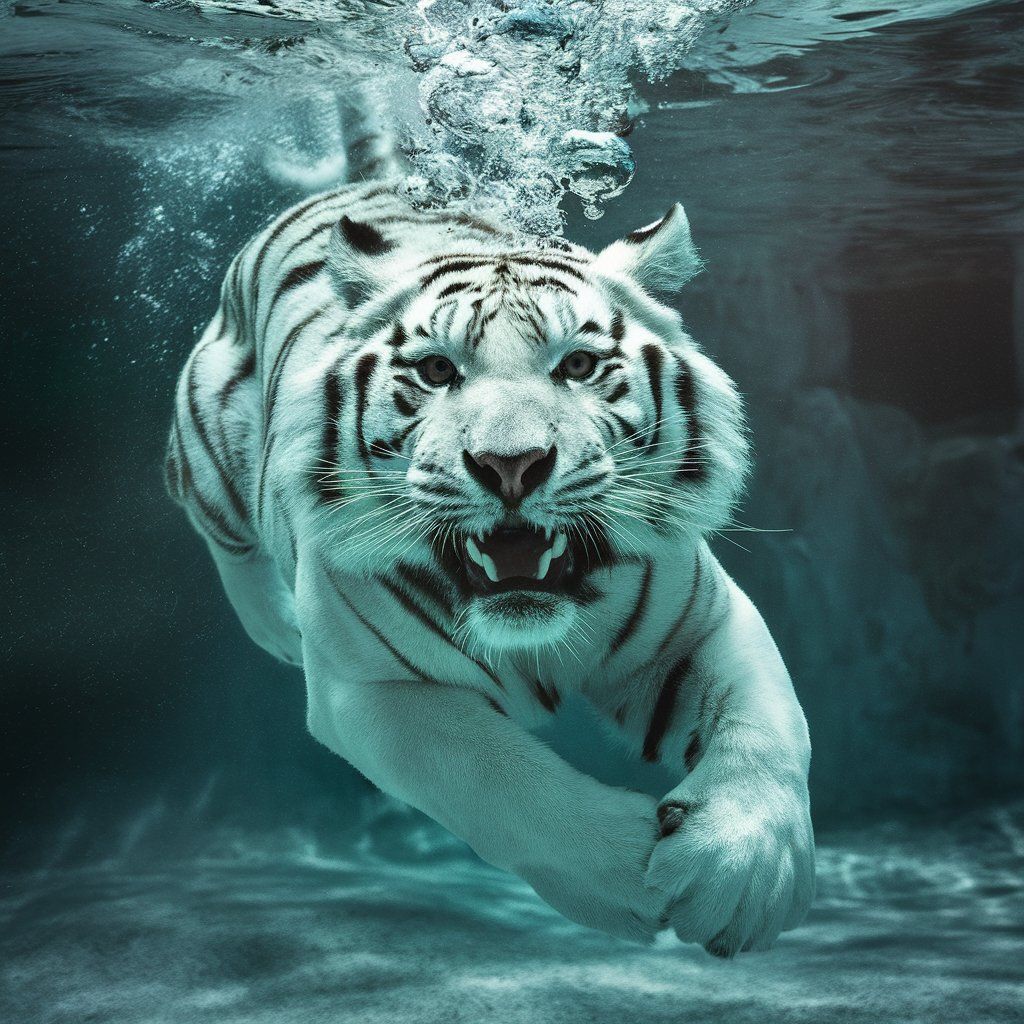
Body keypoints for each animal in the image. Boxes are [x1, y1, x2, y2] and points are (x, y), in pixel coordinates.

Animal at [166, 134, 814, 957]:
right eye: (438, 370)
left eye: (578, 364)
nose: (512, 464)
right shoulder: (368, 692)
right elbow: (497, 776)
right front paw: (624, 873)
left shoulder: (706, 620)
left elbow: (769, 726)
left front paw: (741, 873)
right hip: (208, 436)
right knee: (214, 522)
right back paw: (276, 626)